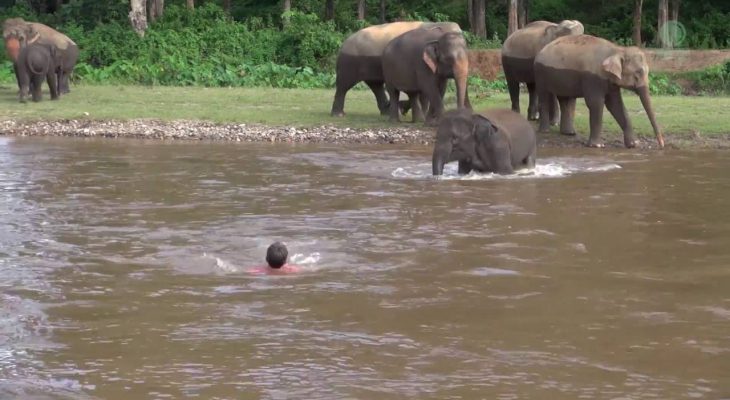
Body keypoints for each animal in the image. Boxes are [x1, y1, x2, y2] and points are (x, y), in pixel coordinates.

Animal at [330, 21, 462, 117]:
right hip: (349, 62)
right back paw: (338, 115)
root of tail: (344, 43)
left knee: (376, 85)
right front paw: (405, 109)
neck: (433, 24)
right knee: (344, 85)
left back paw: (387, 112)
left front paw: (403, 108)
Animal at [534, 34, 664, 149]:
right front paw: (597, 145)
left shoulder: (610, 81)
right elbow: (595, 103)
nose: (662, 145)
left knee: (565, 100)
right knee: (544, 97)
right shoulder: (592, 78)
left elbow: (616, 105)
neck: (617, 50)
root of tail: (541, 50)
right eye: (638, 73)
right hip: (540, 73)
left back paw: (569, 133)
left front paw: (634, 144)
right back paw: (545, 131)